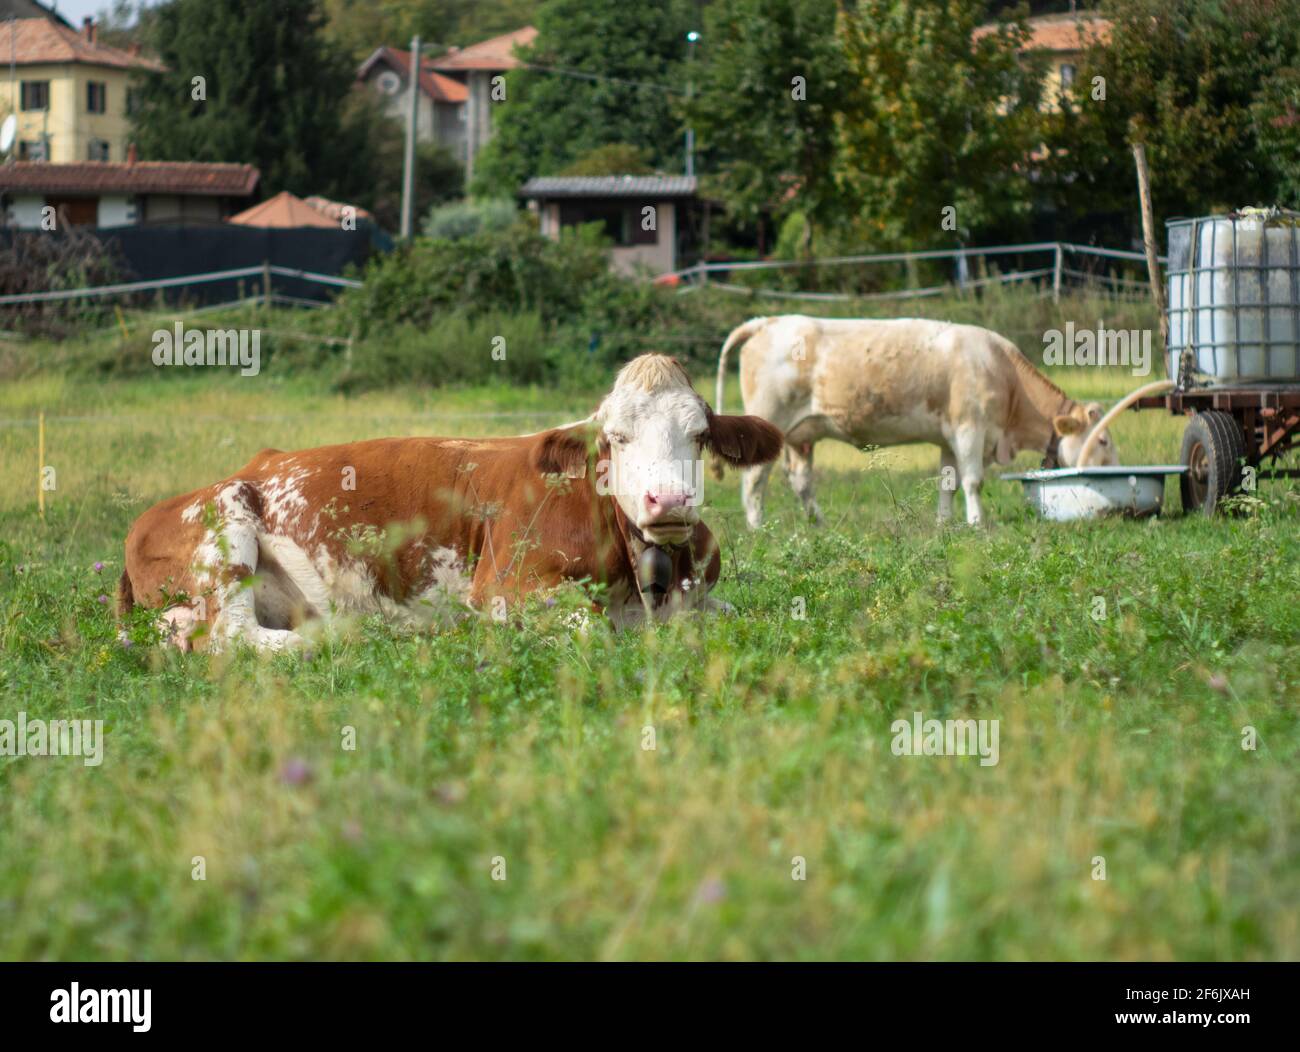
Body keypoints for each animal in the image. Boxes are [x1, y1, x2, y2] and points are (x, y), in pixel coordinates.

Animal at [118, 354, 783, 650]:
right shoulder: (503, 587)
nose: (667, 500)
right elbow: (588, 627)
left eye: (699, 435)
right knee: (234, 636)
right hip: (226, 522)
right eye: (615, 438)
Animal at [713, 315, 1121, 527]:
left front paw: (944, 524)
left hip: (801, 435)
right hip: (768, 420)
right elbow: (973, 481)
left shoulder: (949, 438)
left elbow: (948, 483)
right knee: (754, 480)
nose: (1114, 471)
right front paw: (976, 523)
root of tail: (769, 322)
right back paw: (758, 528)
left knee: (799, 480)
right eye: (1102, 440)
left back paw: (818, 525)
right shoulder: (970, 428)